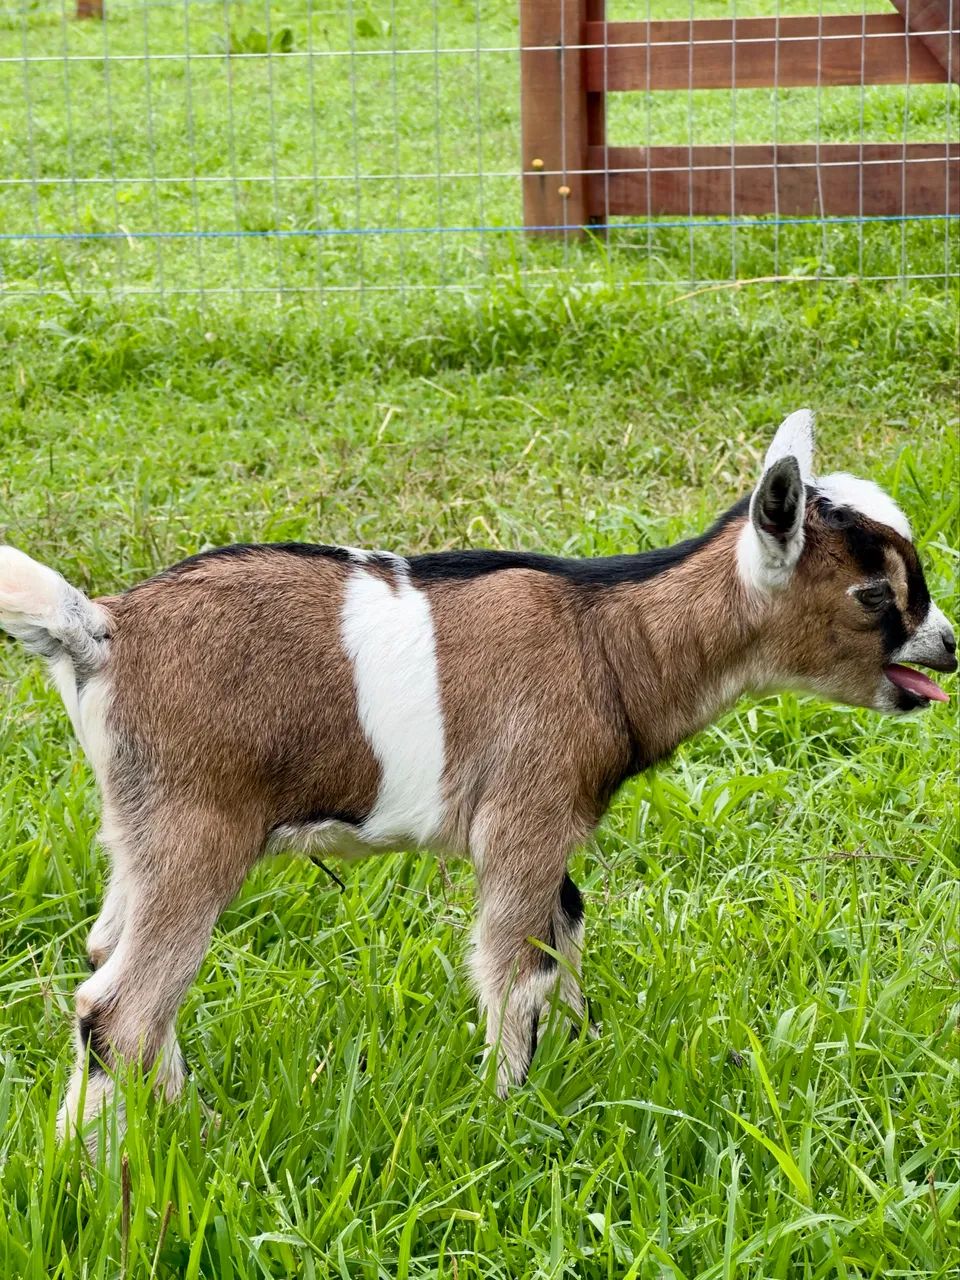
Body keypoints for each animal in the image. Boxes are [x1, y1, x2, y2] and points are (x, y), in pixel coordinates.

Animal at [0, 410, 955, 1140]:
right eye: (874, 594)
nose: (945, 646)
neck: (609, 640)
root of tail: (99, 630)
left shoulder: (555, 823)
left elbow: (564, 934)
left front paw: (579, 1062)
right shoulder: (525, 812)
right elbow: (515, 968)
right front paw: (511, 1116)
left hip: (138, 827)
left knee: (109, 964)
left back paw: (180, 1126)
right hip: (199, 826)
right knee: (119, 1009)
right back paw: (108, 1169)